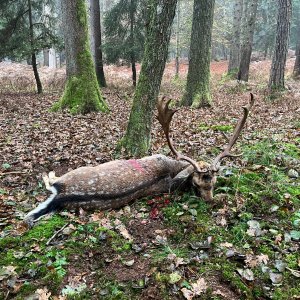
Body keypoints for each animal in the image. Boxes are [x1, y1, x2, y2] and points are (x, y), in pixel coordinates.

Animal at [24, 94, 255, 225]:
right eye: (198, 184)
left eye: (212, 184)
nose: (209, 200)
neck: (174, 168)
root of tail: (62, 196)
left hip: (76, 171)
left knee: (51, 180)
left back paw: (47, 172)